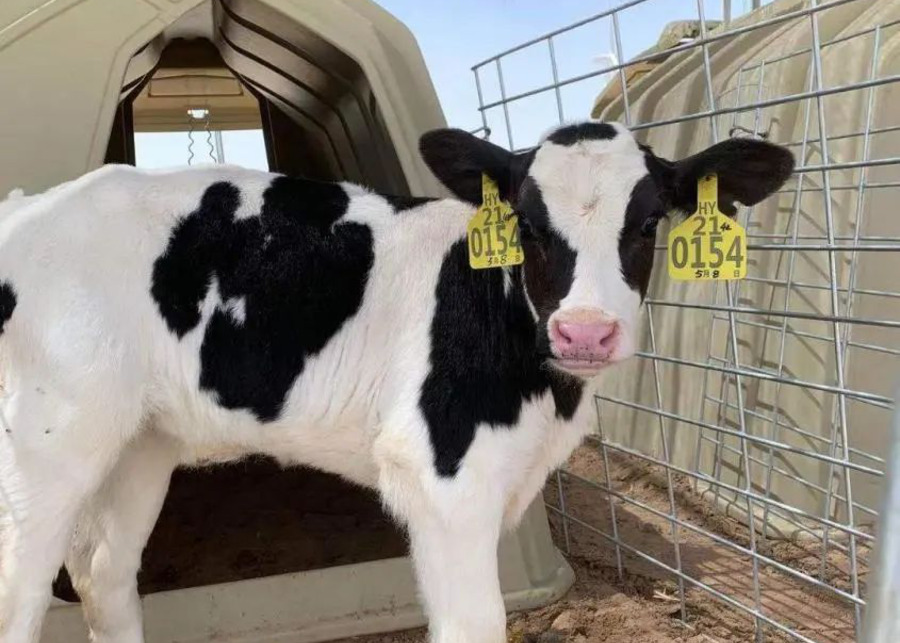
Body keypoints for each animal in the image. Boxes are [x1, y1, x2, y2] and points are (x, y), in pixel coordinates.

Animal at [0, 120, 793, 643]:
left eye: (651, 220)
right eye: (527, 223)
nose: (586, 332)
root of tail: (28, 206)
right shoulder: (442, 476)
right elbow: (474, 623)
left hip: (138, 440)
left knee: (103, 572)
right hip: (41, 447)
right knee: (21, 591)